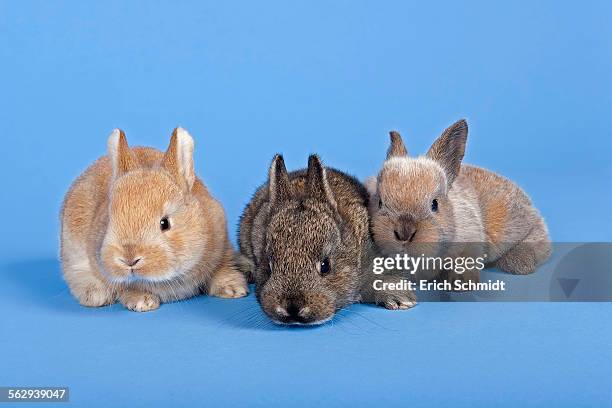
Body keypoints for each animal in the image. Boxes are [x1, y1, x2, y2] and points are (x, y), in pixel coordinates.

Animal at [59, 129, 246, 310]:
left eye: (165, 223)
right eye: (109, 220)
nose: (129, 259)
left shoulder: (221, 247)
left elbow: (222, 268)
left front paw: (233, 289)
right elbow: (126, 288)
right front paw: (143, 302)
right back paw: (96, 296)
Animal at [366, 118, 552, 284]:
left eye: (434, 204)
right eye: (380, 202)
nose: (404, 234)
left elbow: (465, 260)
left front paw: (461, 283)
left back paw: (519, 262)